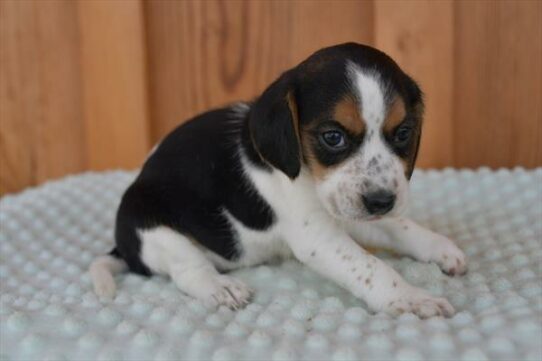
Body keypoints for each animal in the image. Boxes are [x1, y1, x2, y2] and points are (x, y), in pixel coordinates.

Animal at [89, 43, 468, 318]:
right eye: (333, 137)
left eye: (403, 133)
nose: (381, 202)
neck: (309, 177)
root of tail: (123, 247)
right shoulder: (317, 236)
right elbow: (370, 267)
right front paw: (411, 298)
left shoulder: (352, 211)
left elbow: (402, 228)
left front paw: (440, 248)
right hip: (154, 230)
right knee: (187, 270)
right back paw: (220, 288)